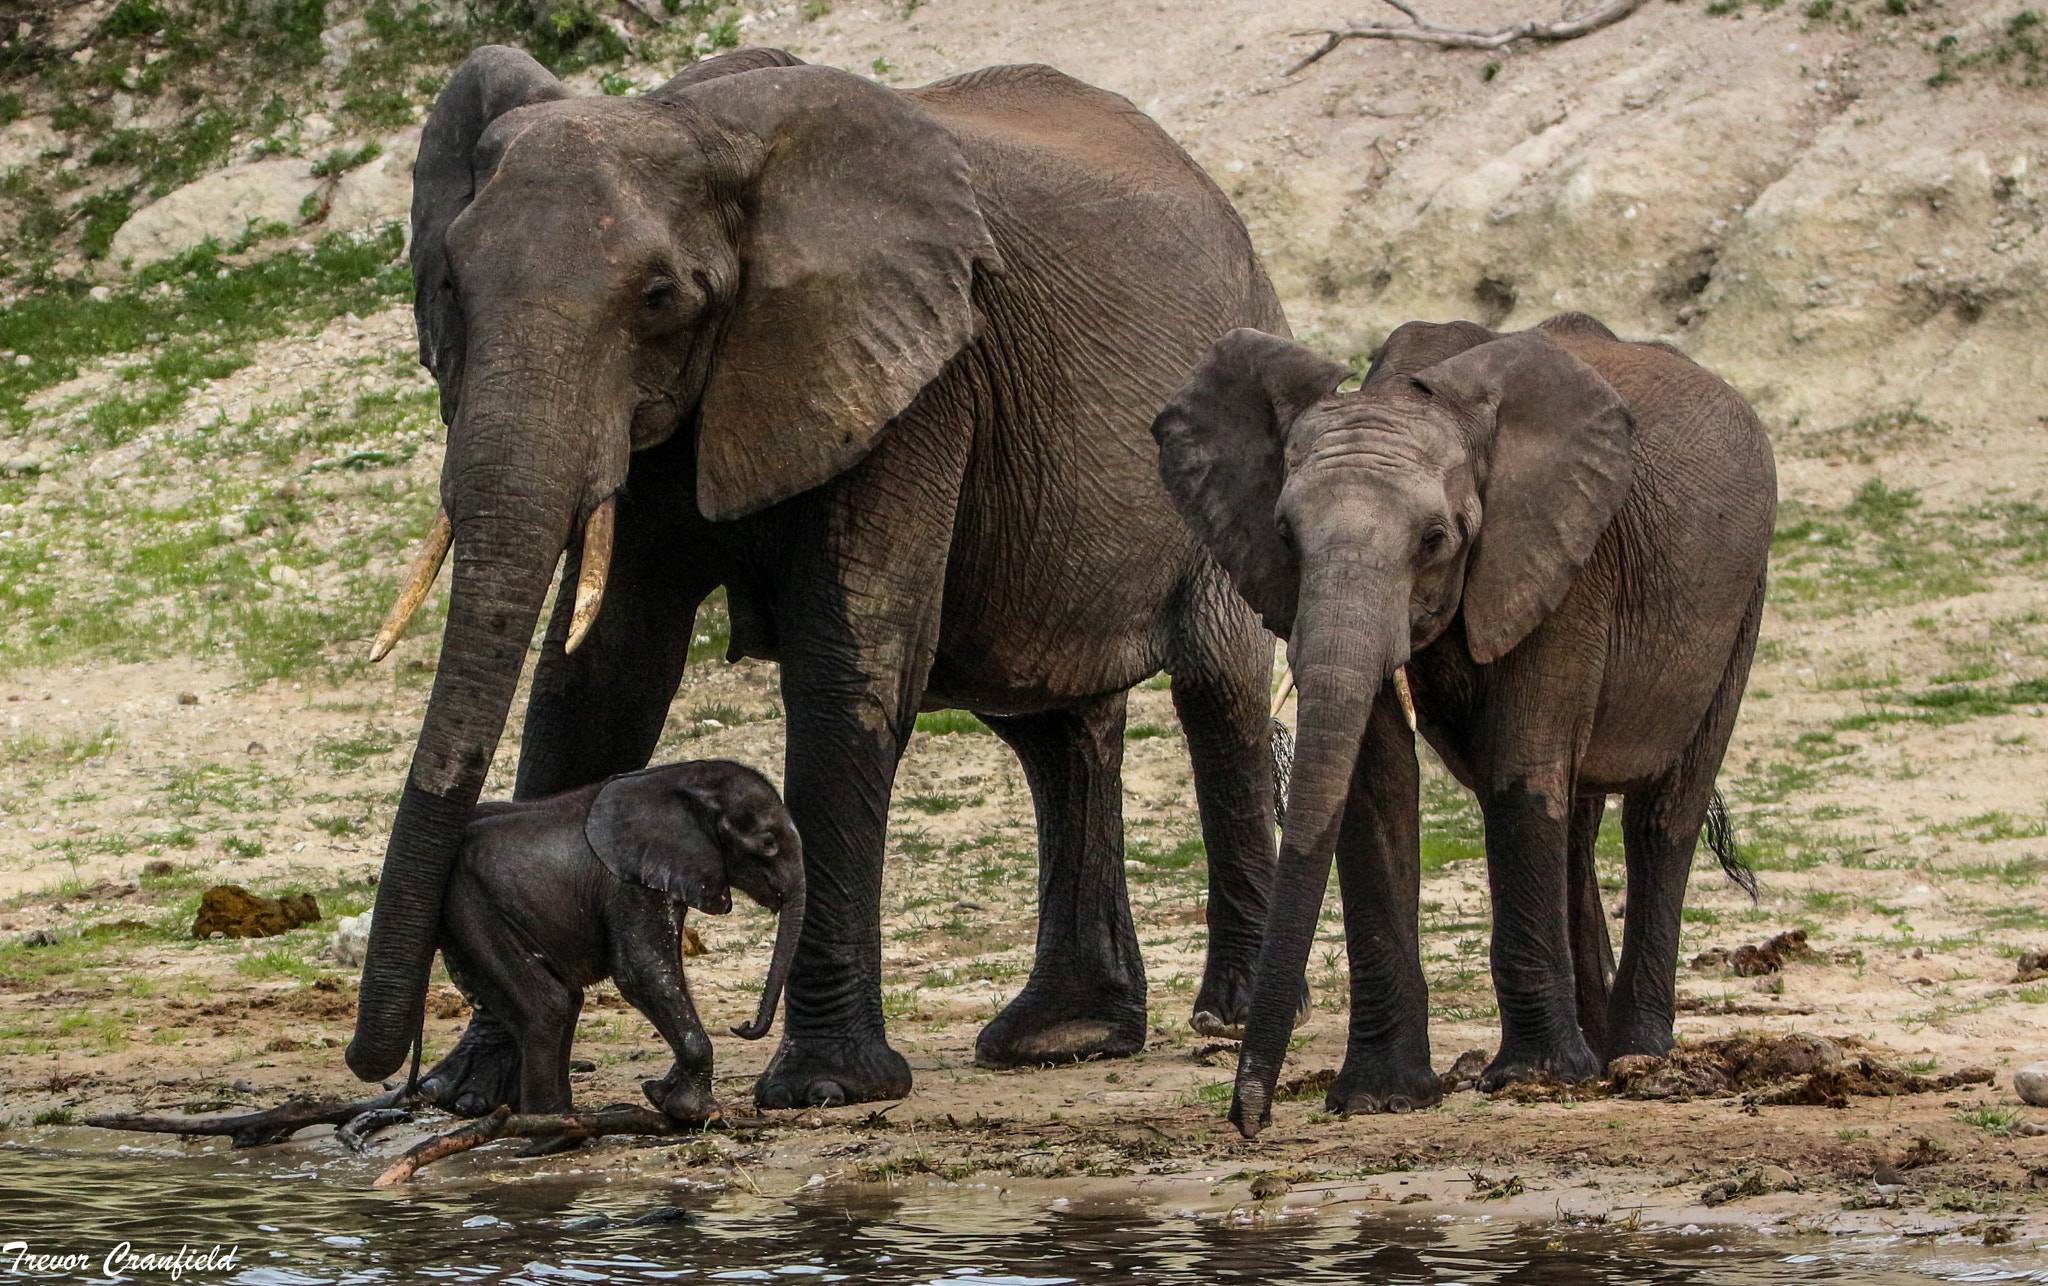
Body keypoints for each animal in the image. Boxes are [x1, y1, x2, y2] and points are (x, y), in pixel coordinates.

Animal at [423, 759, 802, 1125]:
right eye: (768, 844)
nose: (742, 1025)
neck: (681, 779)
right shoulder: (628, 883)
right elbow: (643, 974)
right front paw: (695, 1111)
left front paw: (660, 1095)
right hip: (474, 907)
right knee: (549, 1004)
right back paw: (555, 1125)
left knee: (560, 1001)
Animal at [1149, 313, 1776, 1137]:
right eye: (1284, 536)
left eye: (1434, 541)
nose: (1250, 1118)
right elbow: (1377, 783)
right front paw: (1381, 1098)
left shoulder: (1561, 561)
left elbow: (1519, 767)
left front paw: (1537, 1079)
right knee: (1575, 812)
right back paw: (1600, 1050)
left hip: (1741, 600)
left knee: (1660, 814)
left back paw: (1634, 1058)